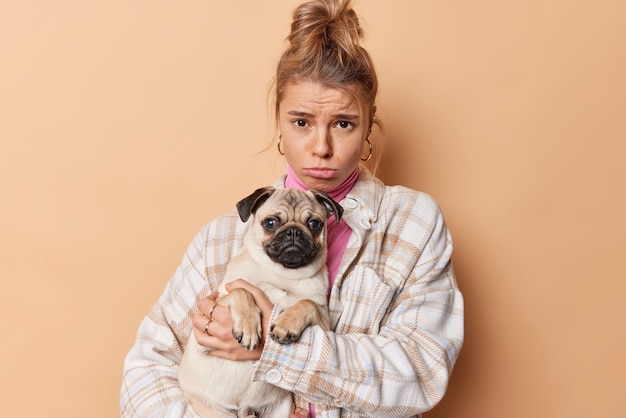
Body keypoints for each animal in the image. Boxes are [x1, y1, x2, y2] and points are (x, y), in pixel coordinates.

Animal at [177, 187, 342, 418]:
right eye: (270, 223)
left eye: (315, 224)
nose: (293, 232)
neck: (283, 274)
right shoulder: (212, 314)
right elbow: (242, 291)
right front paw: (248, 328)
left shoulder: (325, 323)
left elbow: (306, 303)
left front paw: (285, 324)